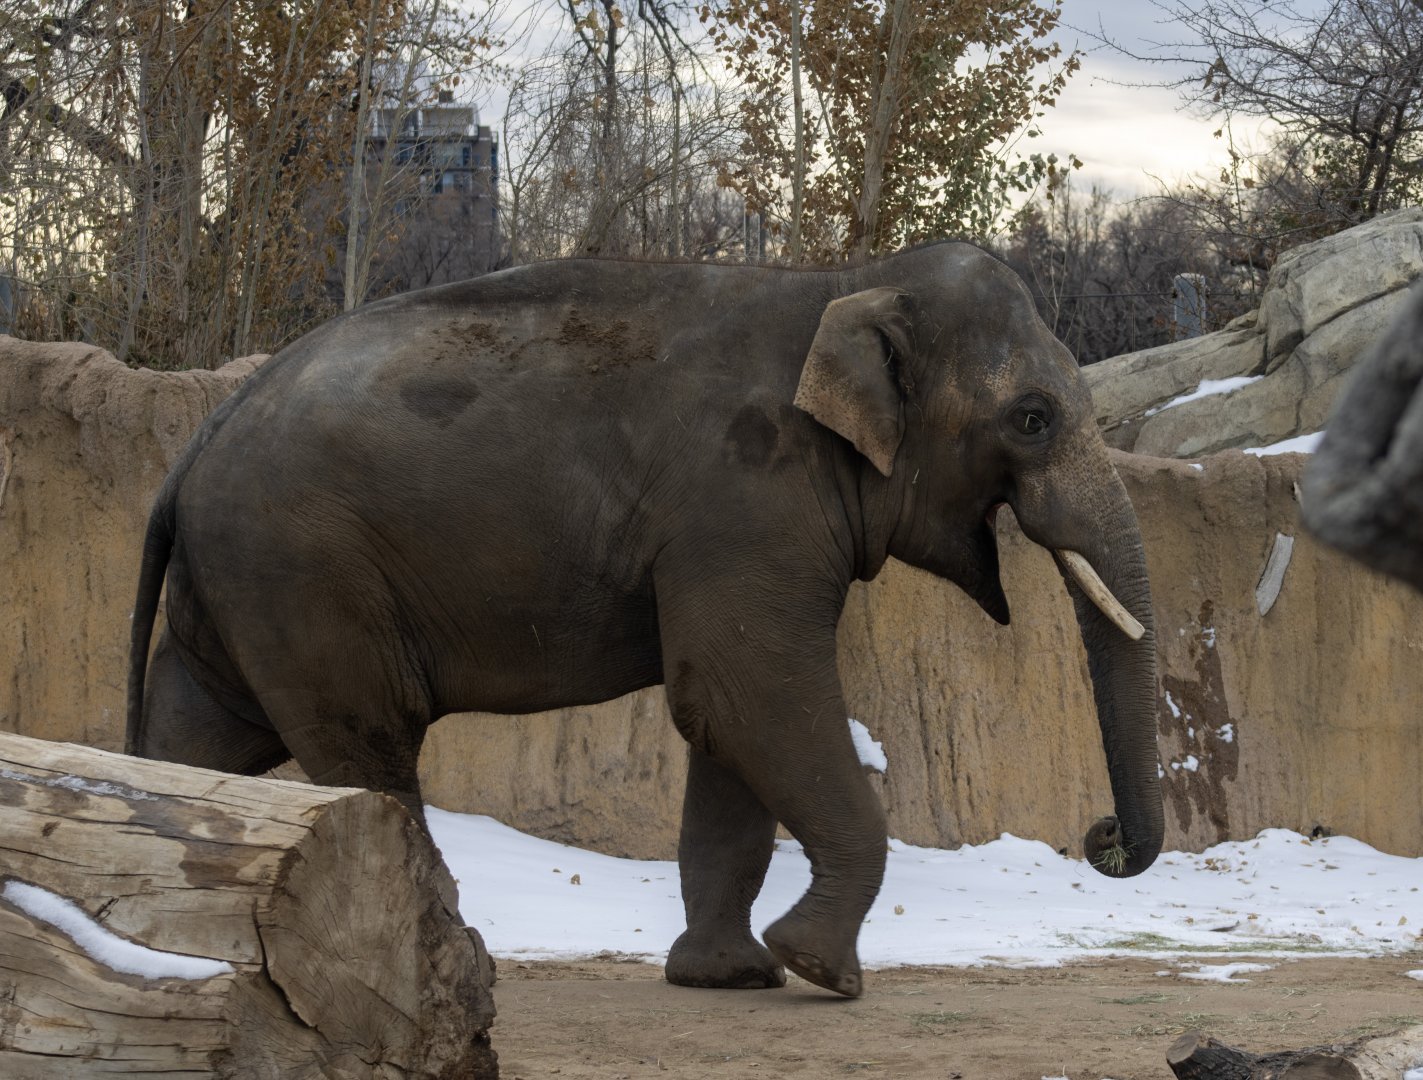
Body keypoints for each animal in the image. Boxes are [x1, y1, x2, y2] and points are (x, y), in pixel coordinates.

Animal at [126, 242, 1165, 999]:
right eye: (1031, 418)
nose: (1100, 833)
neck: (845, 283)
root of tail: (194, 447)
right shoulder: (744, 499)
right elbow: (747, 695)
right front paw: (820, 971)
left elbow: (727, 717)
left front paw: (729, 976)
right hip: (305, 572)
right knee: (369, 747)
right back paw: (445, 958)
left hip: (244, 590)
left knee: (199, 745)